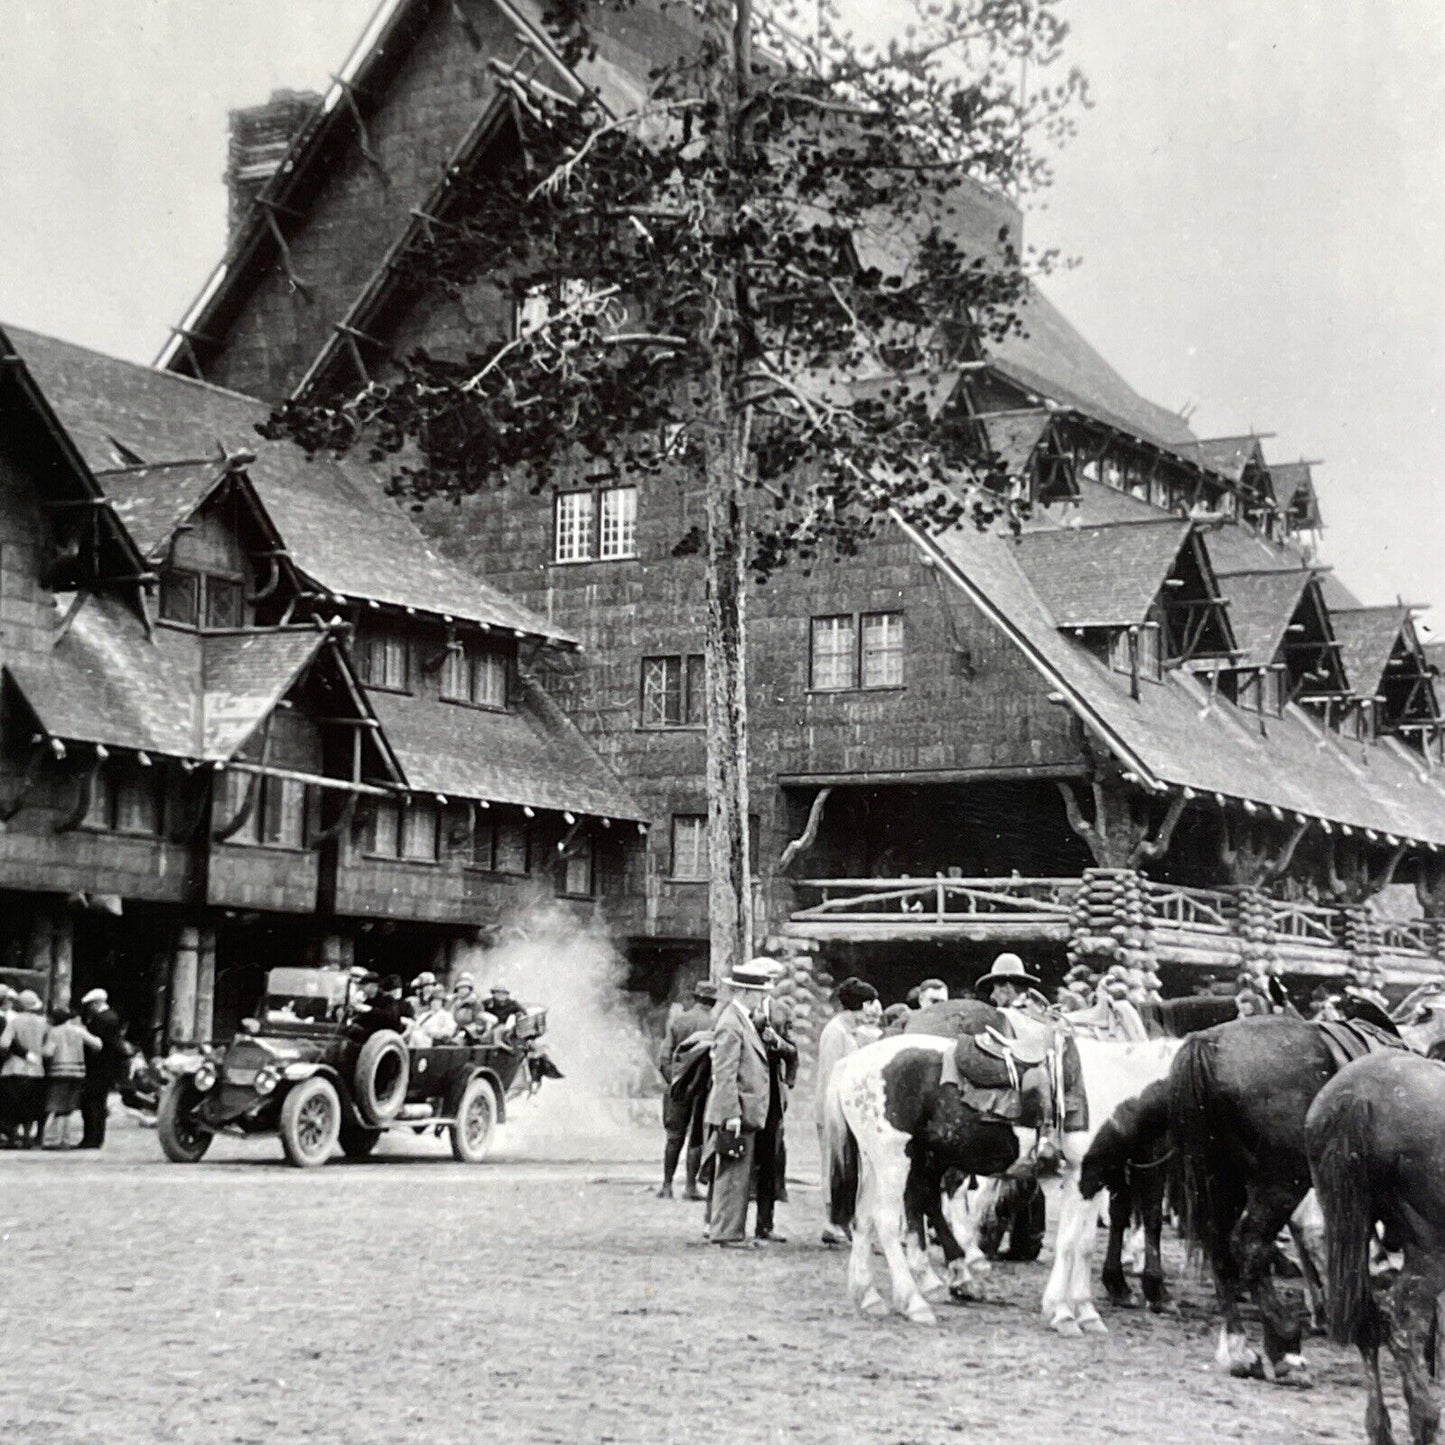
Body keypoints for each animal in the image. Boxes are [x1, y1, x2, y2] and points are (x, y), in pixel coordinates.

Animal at [820, 1028, 1179, 1329]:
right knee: (886, 1221)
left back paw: (870, 1297)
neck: (1115, 1082)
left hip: (878, 1163)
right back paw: (916, 1302)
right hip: (894, 1161)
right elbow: (1069, 1243)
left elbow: (1086, 1244)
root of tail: (852, 1061)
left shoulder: (1095, 1176)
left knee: (865, 1220)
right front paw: (1063, 1312)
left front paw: (1087, 1311)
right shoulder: (1083, 1176)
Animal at [1306, 1051, 1445, 1445]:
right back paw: (1425, 1418)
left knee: (1368, 1319)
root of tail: (1357, 1095)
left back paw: (1380, 1427)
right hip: (1429, 1250)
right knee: (1401, 1323)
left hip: (1351, 1233)